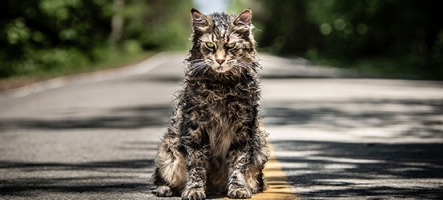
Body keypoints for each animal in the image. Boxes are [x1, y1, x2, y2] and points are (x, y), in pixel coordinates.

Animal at [153, 8, 270, 200]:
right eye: (210, 45)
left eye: (231, 46)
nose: (220, 60)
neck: (221, 86)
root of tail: (214, 188)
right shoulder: (195, 128)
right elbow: (196, 165)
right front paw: (194, 190)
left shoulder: (243, 128)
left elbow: (238, 163)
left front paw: (238, 187)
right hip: (168, 151)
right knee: (162, 177)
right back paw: (165, 189)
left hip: (261, 147)